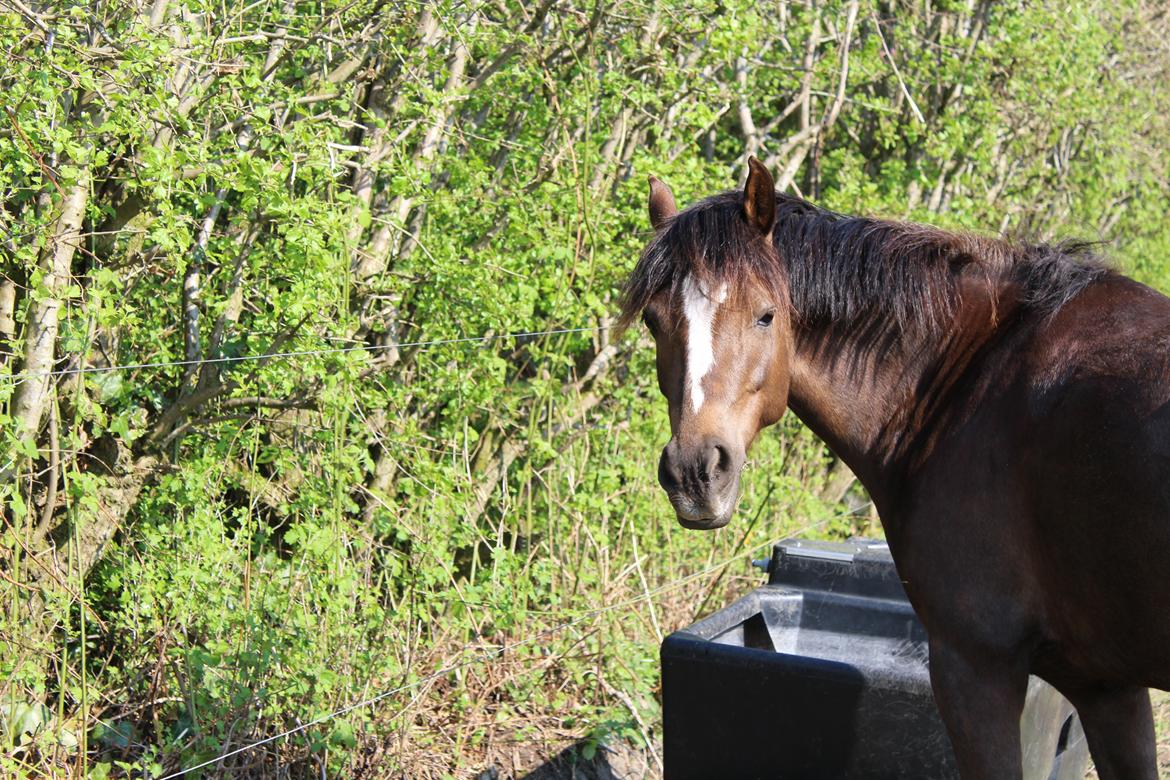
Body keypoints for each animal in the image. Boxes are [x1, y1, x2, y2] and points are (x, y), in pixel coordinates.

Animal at [627, 155, 1170, 776]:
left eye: (766, 316)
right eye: (653, 322)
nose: (695, 473)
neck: (973, 382)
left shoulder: (975, 668)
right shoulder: (1107, 686)